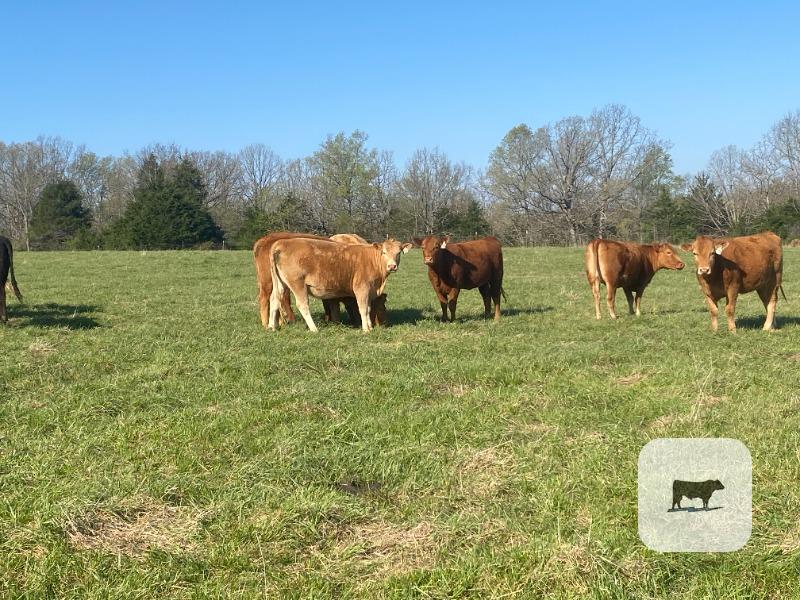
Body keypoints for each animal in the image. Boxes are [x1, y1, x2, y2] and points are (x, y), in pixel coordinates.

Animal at [268, 238, 411, 332]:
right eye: (384, 252)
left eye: (398, 253)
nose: (392, 266)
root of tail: (281, 243)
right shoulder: (362, 288)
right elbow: (363, 309)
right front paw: (366, 329)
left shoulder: (369, 291)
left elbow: (368, 308)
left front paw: (370, 326)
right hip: (297, 284)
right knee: (302, 305)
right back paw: (314, 329)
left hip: (280, 283)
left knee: (274, 300)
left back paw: (272, 327)